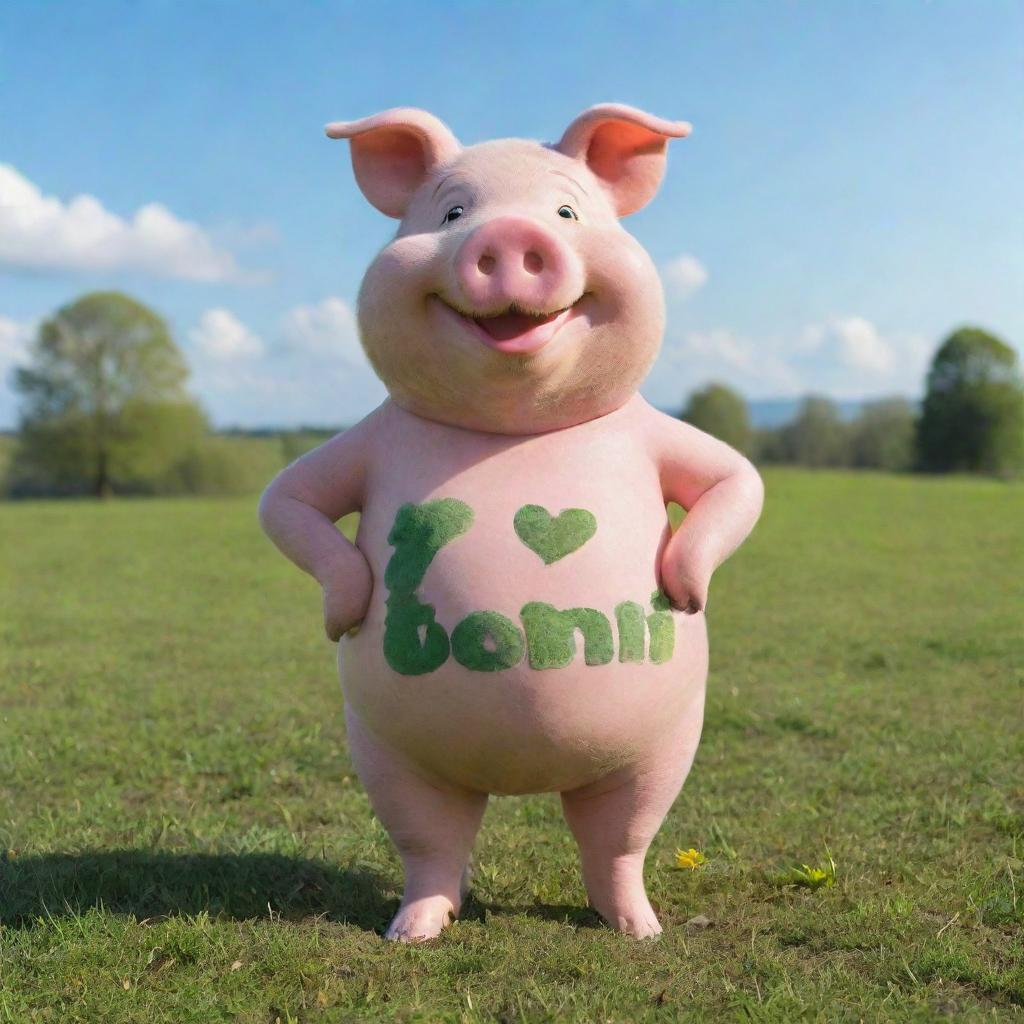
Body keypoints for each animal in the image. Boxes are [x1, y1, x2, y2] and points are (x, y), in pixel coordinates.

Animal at [260, 105, 765, 942]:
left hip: (660, 744)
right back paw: (413, 930)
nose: (507, 235)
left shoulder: (661, 435)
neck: (513, 429)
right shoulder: (364, 442)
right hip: (386, 748)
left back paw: (638, 929)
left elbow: (736, 478)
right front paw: (345, 614)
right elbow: (287, 500)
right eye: (452, 213)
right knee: (432, 842)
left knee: (619, 840)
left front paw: (686, 594)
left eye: (565, 212)